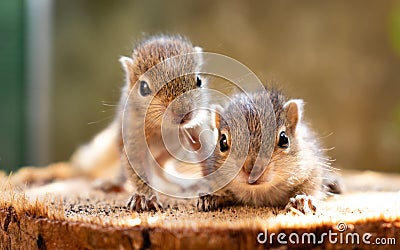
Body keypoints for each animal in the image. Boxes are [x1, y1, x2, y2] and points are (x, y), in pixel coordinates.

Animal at [198, 88, 340, 213]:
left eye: (284, 139)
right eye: (222, 142)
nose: (251, 169)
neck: (257, 192)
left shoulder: (312, 171)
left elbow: (310, 189)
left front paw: (301, 199)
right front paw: (210, 197)